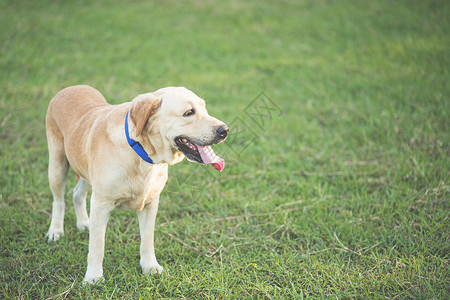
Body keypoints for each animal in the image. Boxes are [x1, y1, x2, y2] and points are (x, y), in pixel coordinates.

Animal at [45, 84, 229, 284]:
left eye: (204, 108)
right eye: (189, 112)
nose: (224, 130)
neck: (141, 153)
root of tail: (71, 87)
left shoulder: (150, 203)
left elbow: (147, 239)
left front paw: (150, 266)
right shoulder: (101, 204)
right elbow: (97, 246)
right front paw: (93, 277)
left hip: (84, 170)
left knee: (77, 193)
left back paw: (84, 223)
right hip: (57, 166)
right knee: (58, 201)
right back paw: (55, 231)